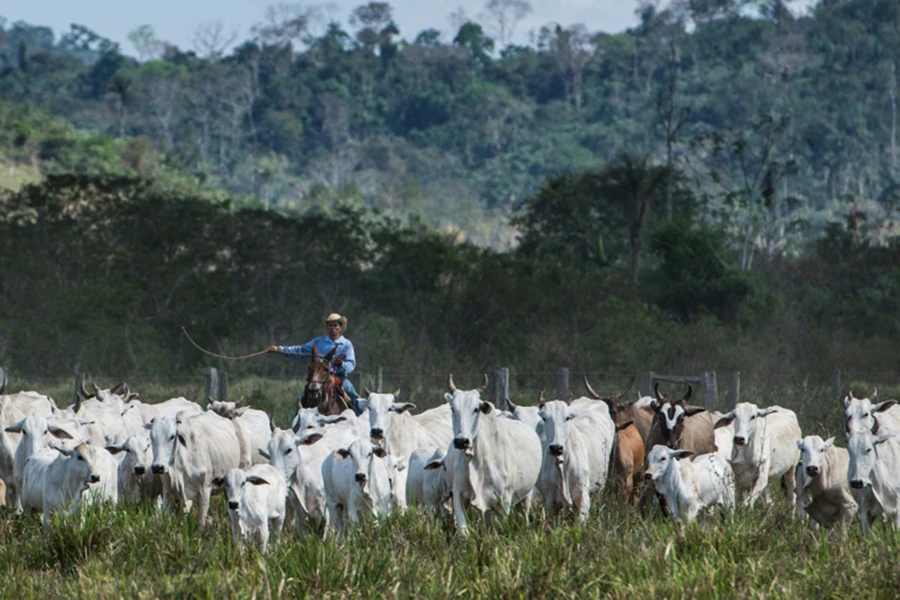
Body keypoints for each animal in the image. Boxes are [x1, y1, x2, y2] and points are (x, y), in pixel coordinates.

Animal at [444, 380, 540, 536]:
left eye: (476, 409)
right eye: (453, 408)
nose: (461, 441)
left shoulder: (504, 499)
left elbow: (500, 529)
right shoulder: (458, 493)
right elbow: (463, 531)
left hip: (526, 495)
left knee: (524, 515)